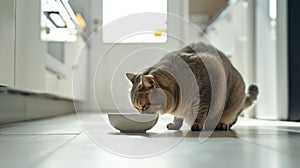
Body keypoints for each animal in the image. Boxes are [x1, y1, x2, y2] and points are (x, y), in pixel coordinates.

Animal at [126, 42, 258, 131]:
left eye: (144, 106)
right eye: (136, 108)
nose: (140, 116)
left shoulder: (206, 89)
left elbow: (201, 111)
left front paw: (197, 124)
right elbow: (177, 117)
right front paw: (175, 124)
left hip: (233, 100)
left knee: (232, 116)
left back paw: (223, 123)